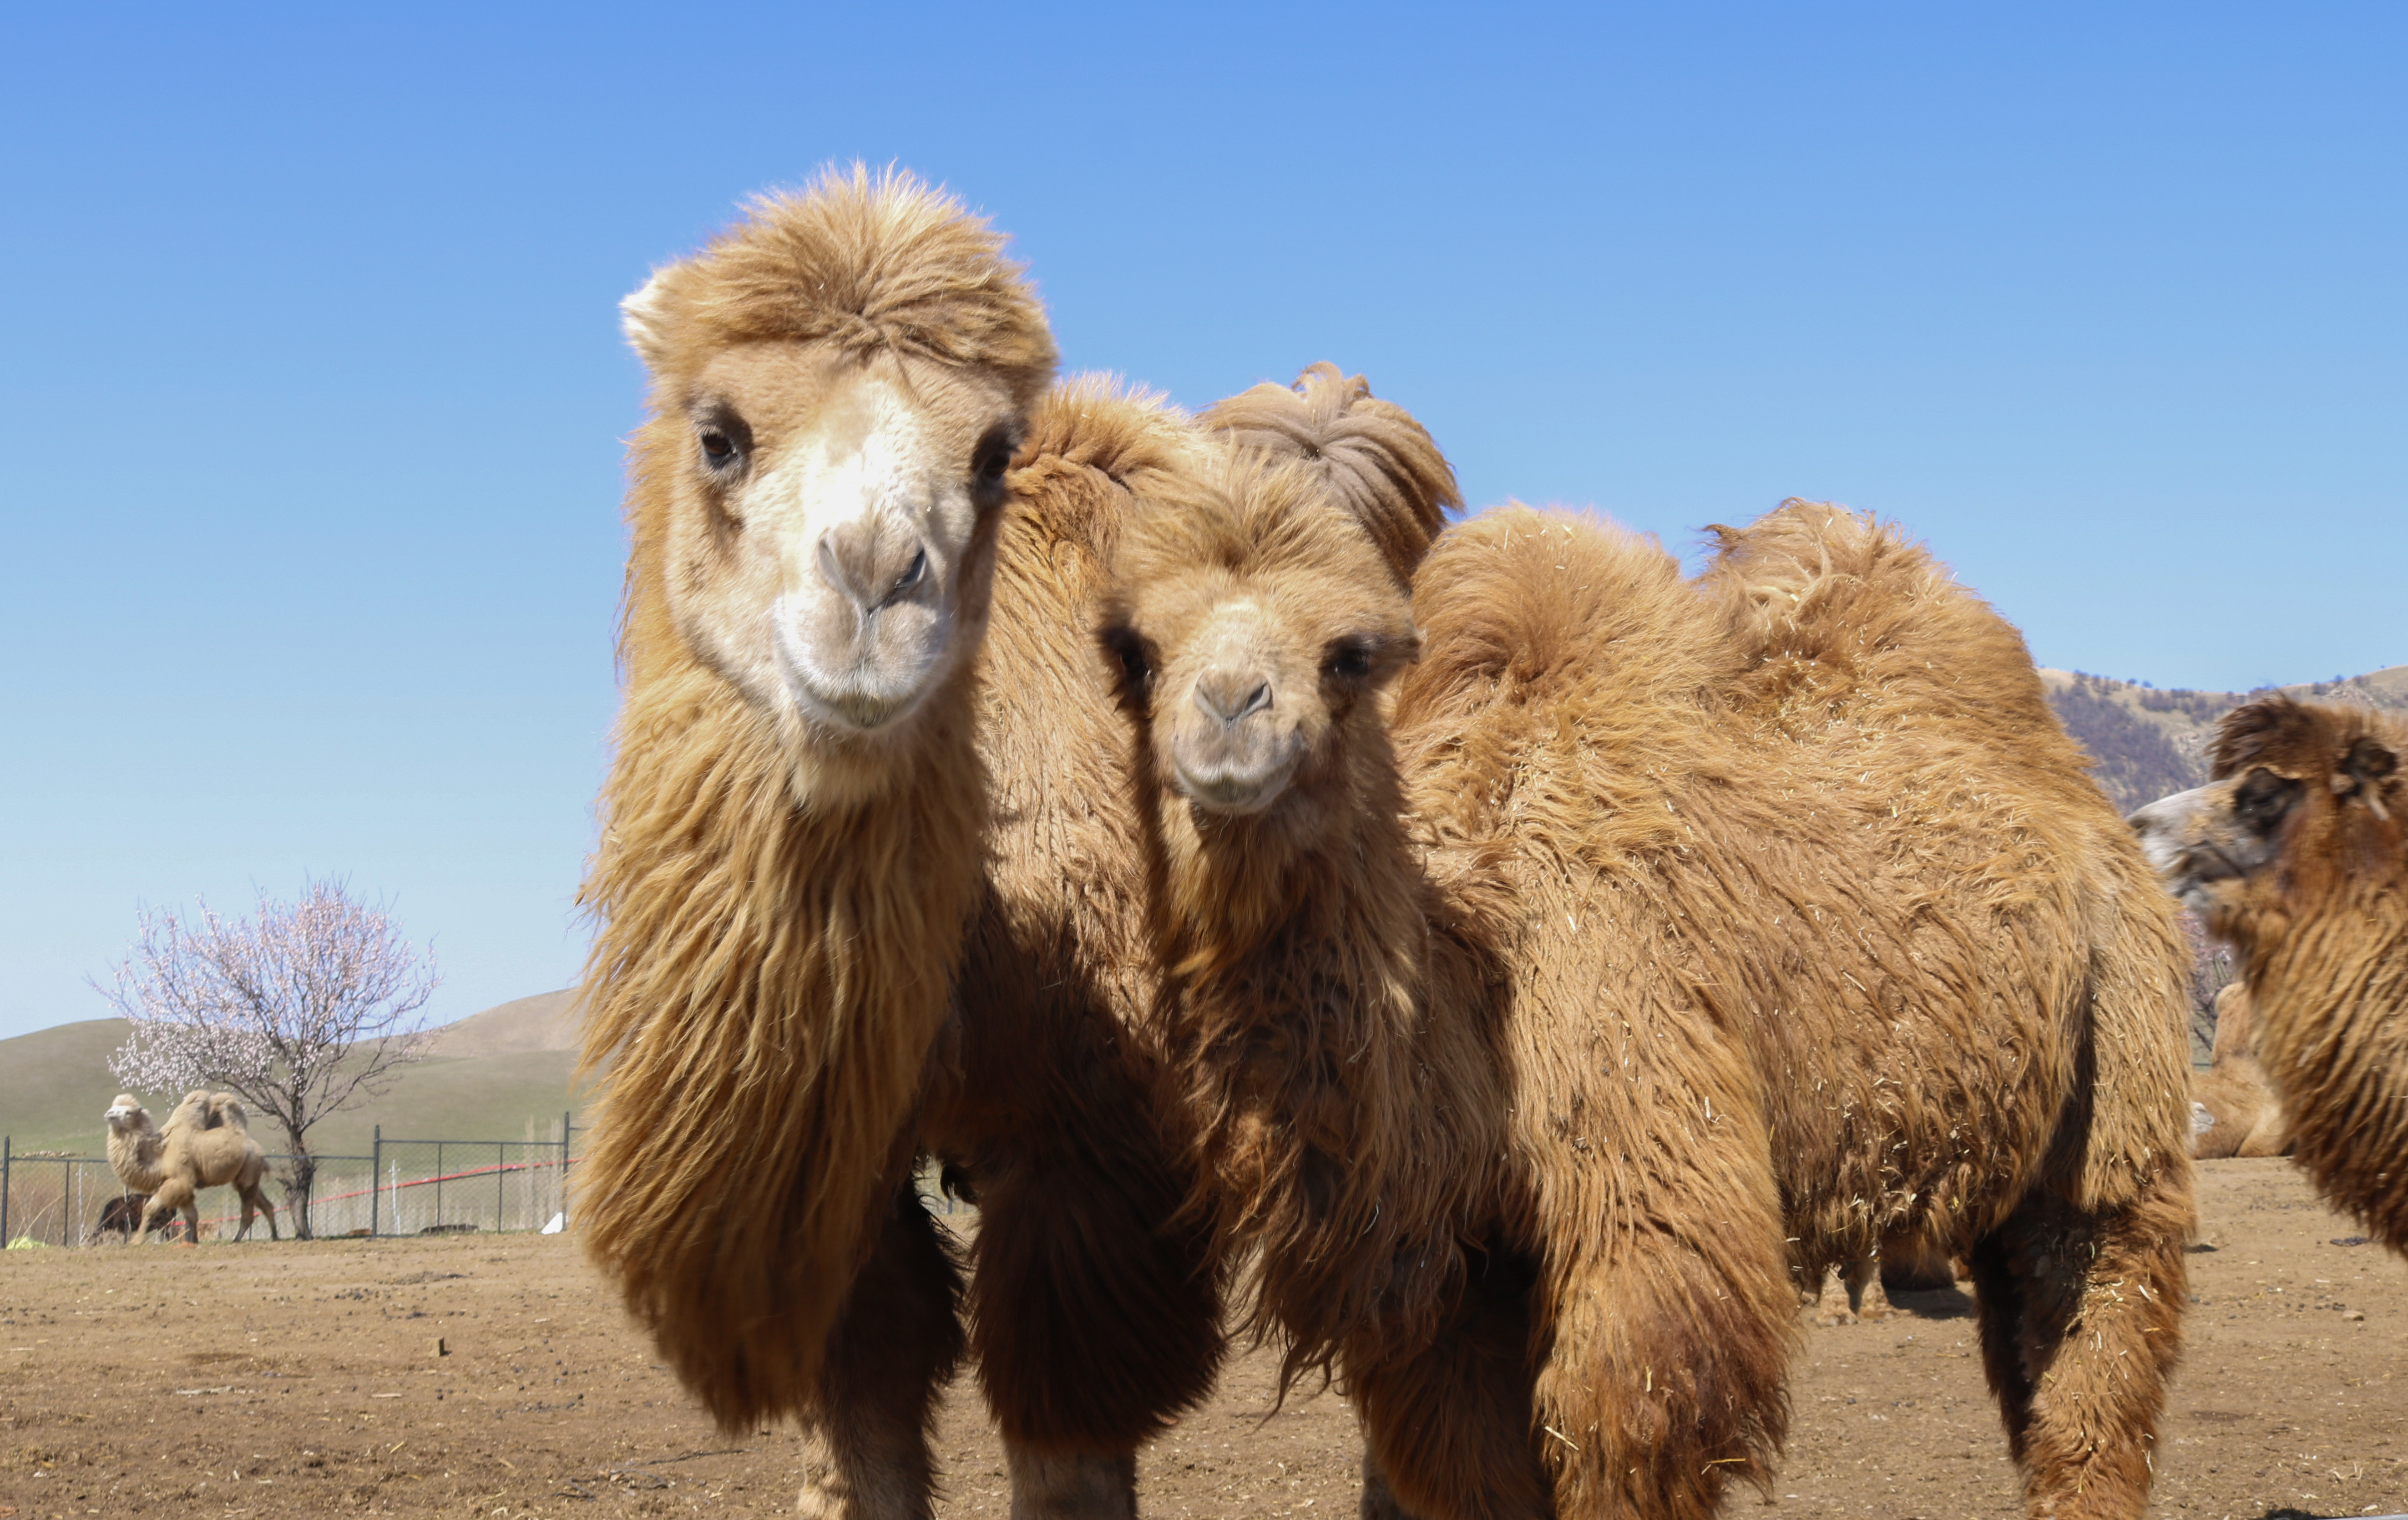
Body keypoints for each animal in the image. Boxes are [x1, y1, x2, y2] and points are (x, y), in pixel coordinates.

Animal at [101, 1094, 279, 1252]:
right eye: (113, 1107)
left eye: (128, 1112)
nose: (109, 1114)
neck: (160, 1155)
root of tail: (257, 1148)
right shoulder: (182, 1188)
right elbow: (192, 1216)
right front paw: (193, 1241)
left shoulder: (180, 1180)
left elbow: (150, 1208)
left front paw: (137, 1241)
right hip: (247, 1177)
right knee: (265, 1204)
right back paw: (275, 1236)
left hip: (250, 1168)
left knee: (248, 1211)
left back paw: (237, 1240)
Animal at [1103, 486, 2206, 1520]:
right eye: (1135, 650)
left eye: (1348, 654)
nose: (1230, 711)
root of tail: (2095, 808)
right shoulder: (1457, 1273)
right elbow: (1482, 1470)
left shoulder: (1650, 1205)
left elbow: (1628, 1433)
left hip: (2120, 1054)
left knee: (2097, 1321)